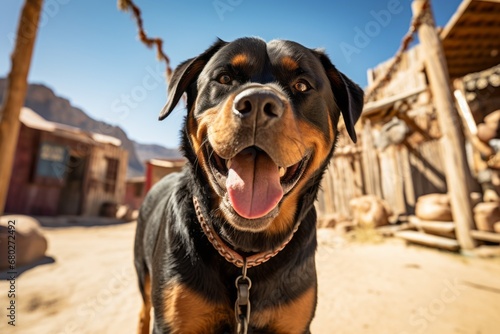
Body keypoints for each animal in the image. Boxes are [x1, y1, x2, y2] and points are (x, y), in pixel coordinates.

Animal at [135, 37, 364, 332]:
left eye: (302, 85)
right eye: (224, 78)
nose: (257, 102)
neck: (246, 256)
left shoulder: (294, 323)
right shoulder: (174, 321)